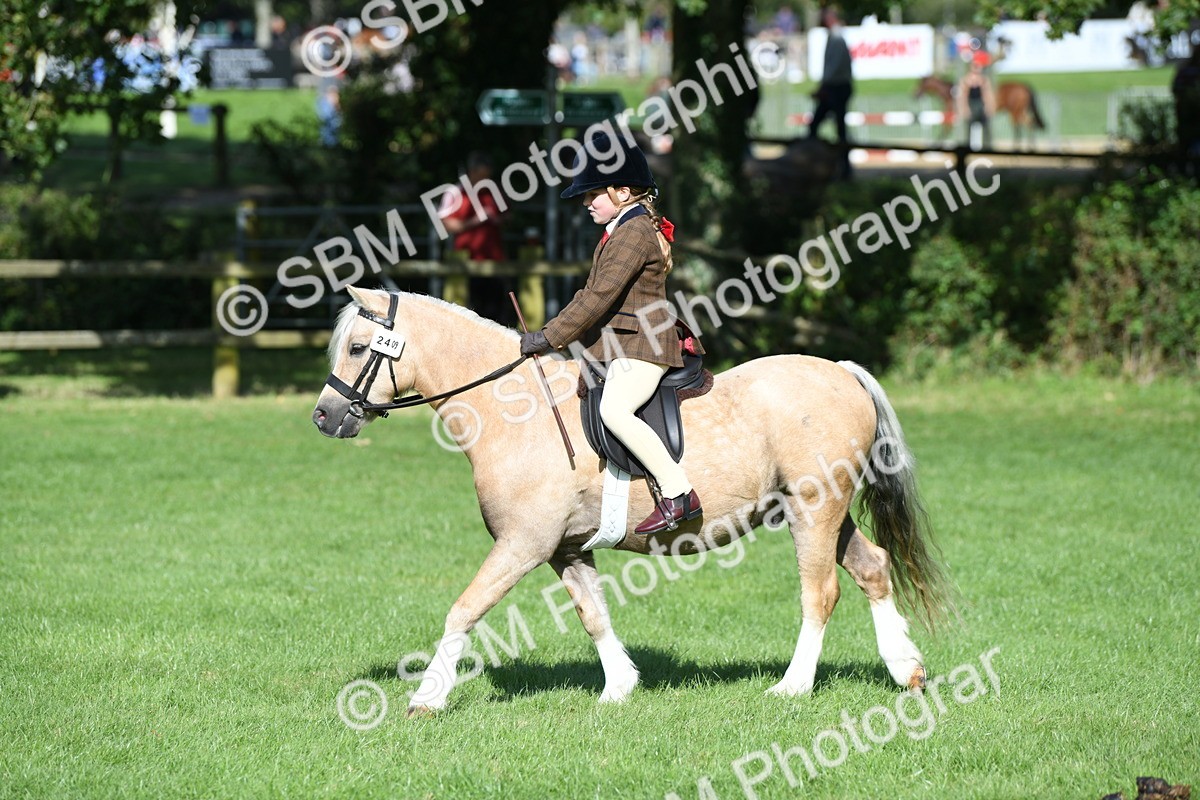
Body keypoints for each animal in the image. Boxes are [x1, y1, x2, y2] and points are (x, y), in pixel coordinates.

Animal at [312, 287, 952, 715]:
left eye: (360, 347)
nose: (325, 416)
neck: (513, 410)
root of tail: (840, 371)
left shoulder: (523, 544)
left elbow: (464, 610)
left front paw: (426, 697)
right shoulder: (564, 549)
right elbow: (593, 614)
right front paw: (619, 688)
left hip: (814, 510)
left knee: (820, 593)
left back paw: (792, 686)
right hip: (819, 511)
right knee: (873, 569)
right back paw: (906, 670)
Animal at [914, 74, 1045, 149]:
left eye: (921, 84)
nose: (915, 95)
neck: (951, 94)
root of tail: (1024, 86)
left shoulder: (953, 117)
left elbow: (945, 130)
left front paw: (934, 145)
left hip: (1015, 112)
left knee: (1020, 127)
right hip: (1020, 111)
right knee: (1030, 124)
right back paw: (1030, 147)